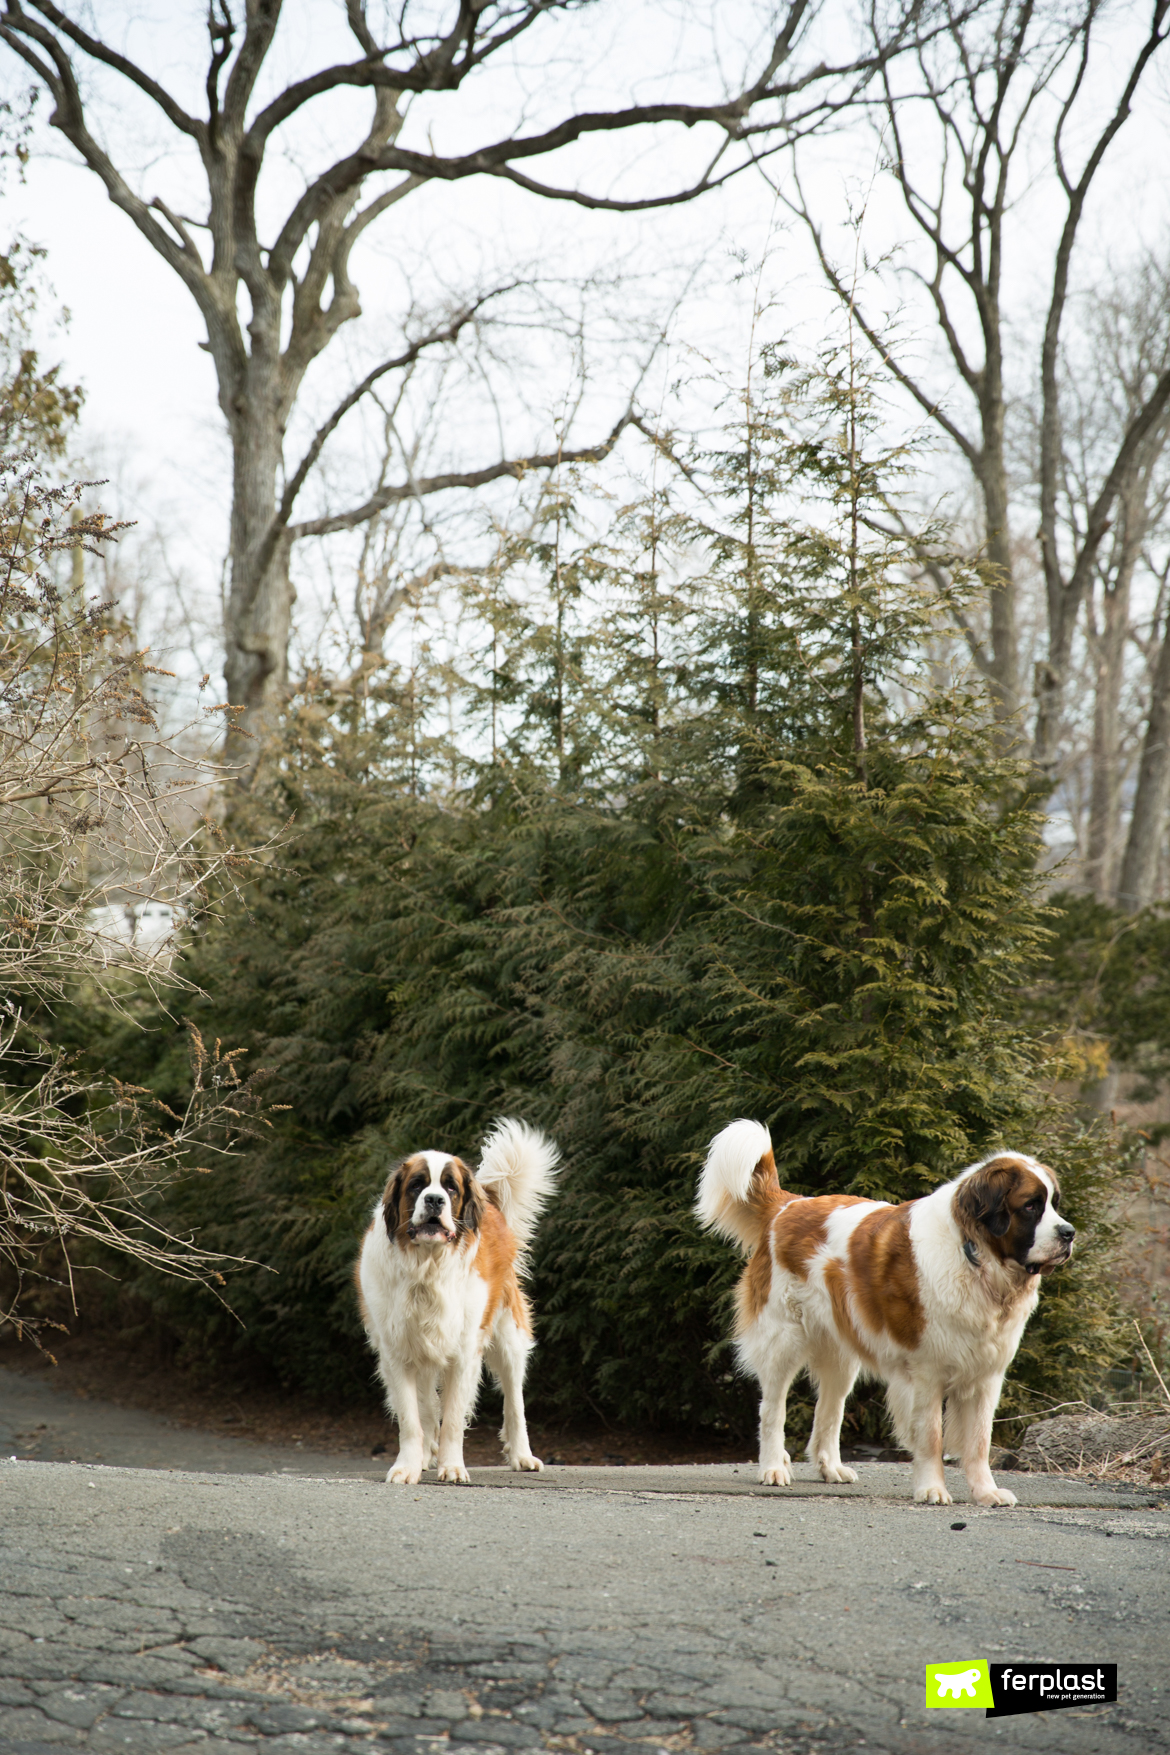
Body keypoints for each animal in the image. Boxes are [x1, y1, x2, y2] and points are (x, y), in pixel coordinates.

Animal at [354, 1123, 561, 1481]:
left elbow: (452, 1418)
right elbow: (411, 1417)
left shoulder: (464, 1352)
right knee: (425, 1406)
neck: (427, 1266)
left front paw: (451, 1466)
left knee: (514, 1398)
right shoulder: (397, 1352)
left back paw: (522, 1455)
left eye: (450, 1188)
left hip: (508, 1334)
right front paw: (407, 1466)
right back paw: (424, 1455)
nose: (435, 1199)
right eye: (417, 1185)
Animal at [694, 1123, 1080, 1509]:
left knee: (830, 1409)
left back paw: (830, 1467)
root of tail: (788, 1204)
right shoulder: (926, 1373)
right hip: (783, 1340)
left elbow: (979, 1441)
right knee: (772, 1407)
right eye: (1030, 1206)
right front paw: (932, 1489)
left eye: (1054, 1205)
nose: (1069, 1233)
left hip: (841, 1354)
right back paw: (774, 1467)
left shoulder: (986, 1376)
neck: (973, 1256)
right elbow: (932, 1436)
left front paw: (986, 1491)